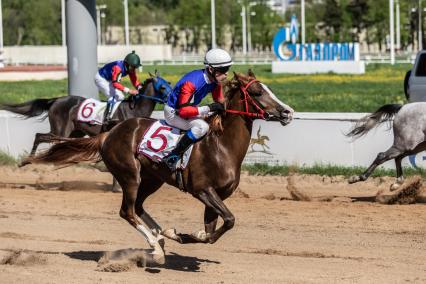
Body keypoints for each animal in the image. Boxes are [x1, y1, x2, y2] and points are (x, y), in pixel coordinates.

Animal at [2, 70, 171, 160]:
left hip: (74, 132)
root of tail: (56, 100)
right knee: (39, 136)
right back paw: (29, 160)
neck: (134, 109)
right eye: (163, 87)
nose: (172, 98)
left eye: (169, 83)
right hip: (60, 130)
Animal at [25, 70, 294, 264]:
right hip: (130, 175)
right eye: (257, 92)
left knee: (139, 207)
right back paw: (155, 246)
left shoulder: (217, 195)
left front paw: (177, 234)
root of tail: (108, 134)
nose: (287, 112)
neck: (221, 146)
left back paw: (159, 237)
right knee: (127, 211)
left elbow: (211, 232)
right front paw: (179, 235)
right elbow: (228, 220)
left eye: (269, 89)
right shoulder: (203, 190)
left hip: (152, 179)